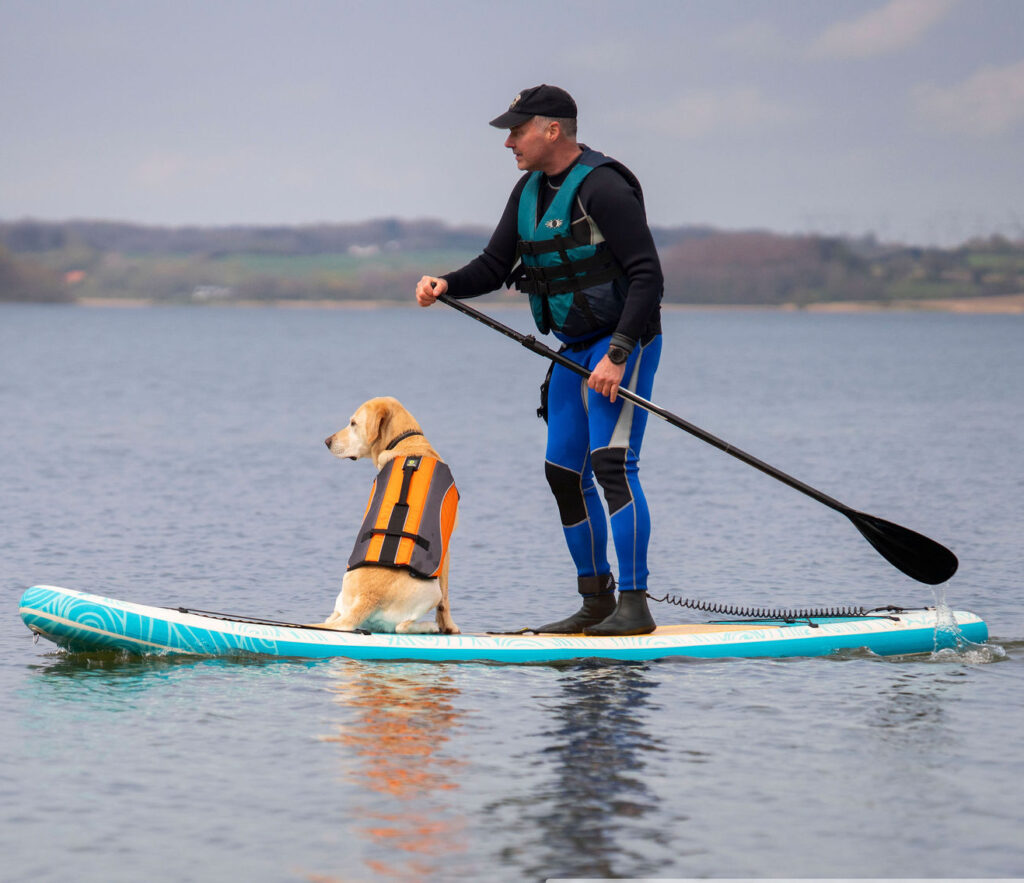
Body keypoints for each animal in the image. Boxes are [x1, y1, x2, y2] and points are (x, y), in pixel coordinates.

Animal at [323, 395, 460, 635]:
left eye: (353, 423)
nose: (327, 441)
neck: (408, 445)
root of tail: (367, 599)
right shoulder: (446, 549)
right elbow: (446, 601)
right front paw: (449, 626)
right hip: (431, 589)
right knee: (402, 627)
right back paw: (429, 626)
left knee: (335, 618)